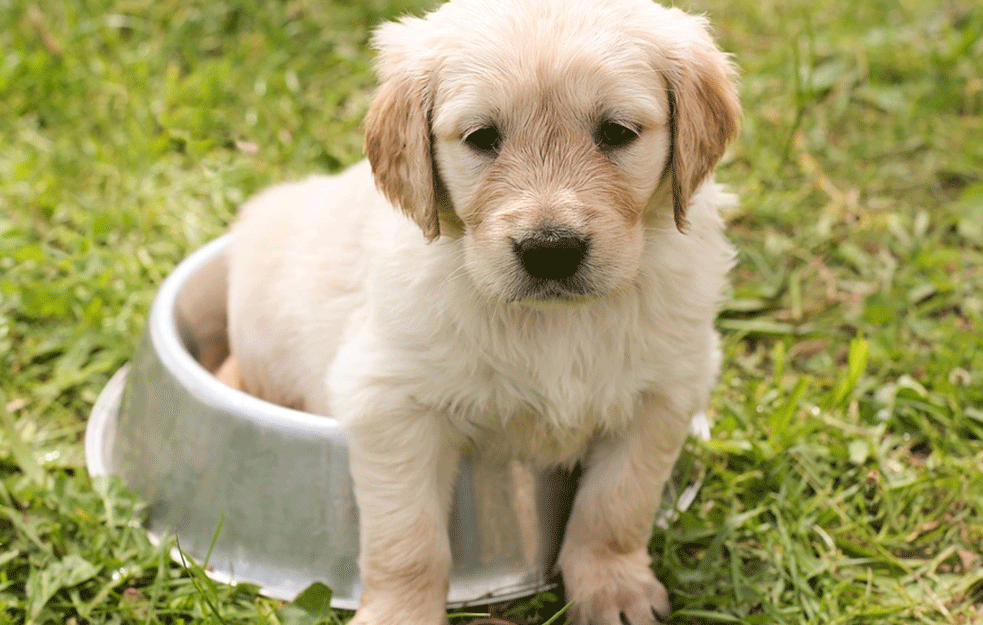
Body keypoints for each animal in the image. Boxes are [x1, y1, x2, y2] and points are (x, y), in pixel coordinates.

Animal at [227, 1, 736, 624]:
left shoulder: (664, 393)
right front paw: (401, 613)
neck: (555, 321)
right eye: (481, 137)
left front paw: (614, 589)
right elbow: (408, 539)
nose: (550, 249)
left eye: (617, 132)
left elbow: (616, 506)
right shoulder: (391, 402)